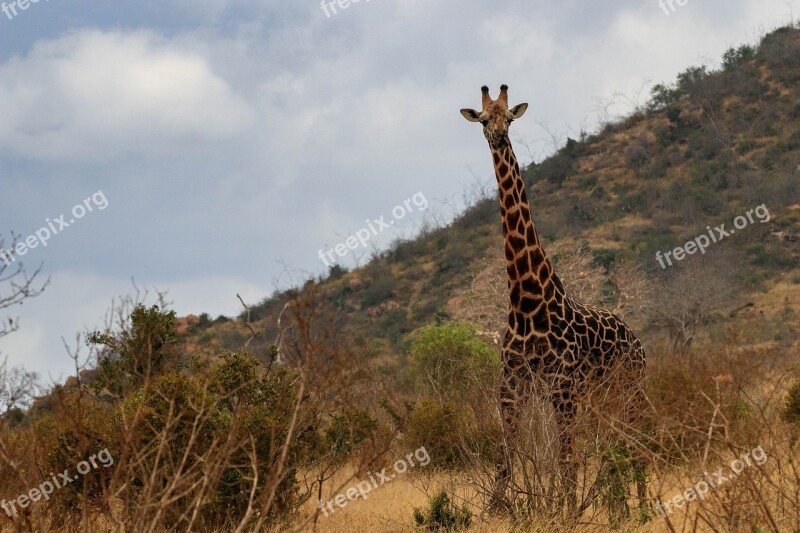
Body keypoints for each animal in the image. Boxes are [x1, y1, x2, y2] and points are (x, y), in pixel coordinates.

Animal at [460, 85, 648, 512]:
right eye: (483, 119)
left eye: (509, 118)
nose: (498, 137)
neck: (527, 299)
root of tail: (637, 341)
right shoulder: (513, 384)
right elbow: (508, 455)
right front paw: (496, 510)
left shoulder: (562, 386)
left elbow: (565, 457)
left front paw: (566, 512)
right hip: (602, 398)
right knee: (617, 445)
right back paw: (626, 509)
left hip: (629, 387)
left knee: (638, 443)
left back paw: (645, 509)